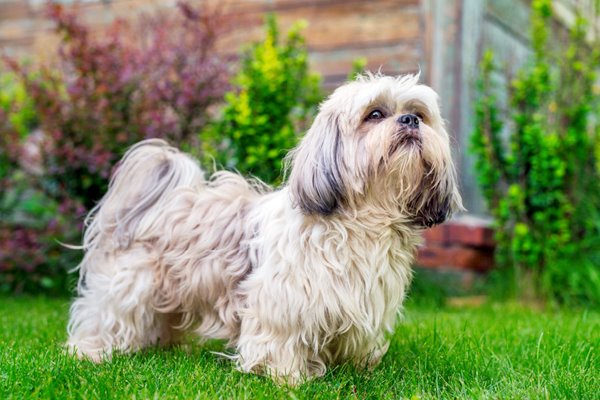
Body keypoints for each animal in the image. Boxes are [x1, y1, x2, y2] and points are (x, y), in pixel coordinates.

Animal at [65, 72, 462, 384]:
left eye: (420, 114)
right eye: (375, 114)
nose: (409, 120)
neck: (362, 220)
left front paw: (356, 369)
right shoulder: (283, 301)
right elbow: (280, 340)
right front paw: (288, 377)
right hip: (131, 285)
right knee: (106, 317)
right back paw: (93, 352)